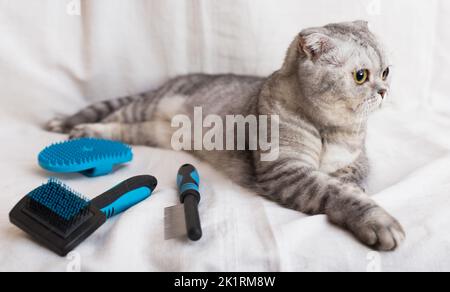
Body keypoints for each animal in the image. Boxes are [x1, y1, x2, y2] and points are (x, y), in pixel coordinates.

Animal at [48, 20, 404, 250]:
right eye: (361, 76)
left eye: (386, 72)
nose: (385, 91)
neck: (334, 129)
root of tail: (172, 80)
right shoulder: (285, 169)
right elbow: (334, 190)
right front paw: (376, 219)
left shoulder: (359, 158)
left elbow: (353, 174)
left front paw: (349, 182)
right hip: (142, 108)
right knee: (110, 118)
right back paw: (76, 128)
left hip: (153, 132)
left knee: (125, 129)